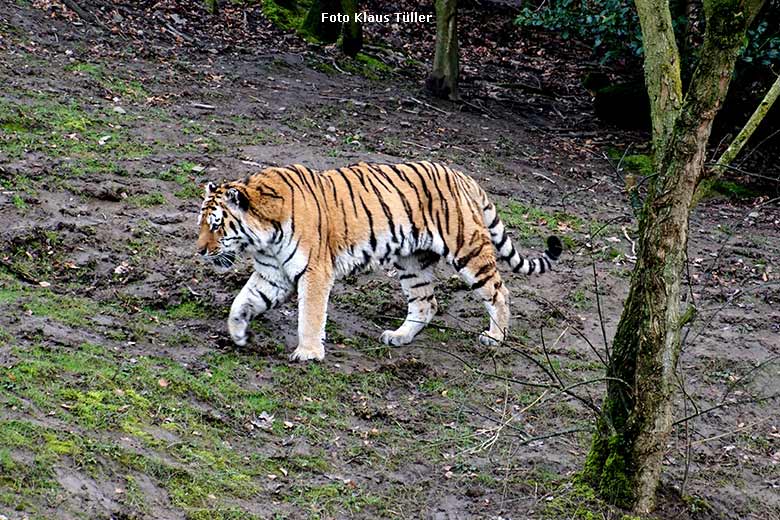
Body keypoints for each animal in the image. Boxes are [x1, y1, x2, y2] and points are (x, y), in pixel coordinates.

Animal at [195, 159, 560, 362]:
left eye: (216, 225)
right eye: (201, 223)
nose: (199, 250)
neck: (264, 236)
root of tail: (463, 176)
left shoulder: (315, 272)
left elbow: (309, 316)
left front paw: (308, 353)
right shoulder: (272, 274)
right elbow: (241, 301)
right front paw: (238, 333)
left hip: (468, 251)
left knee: (499, 292)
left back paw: (495, 337)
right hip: (412, 263)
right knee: (426, 303)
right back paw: (399, 337)